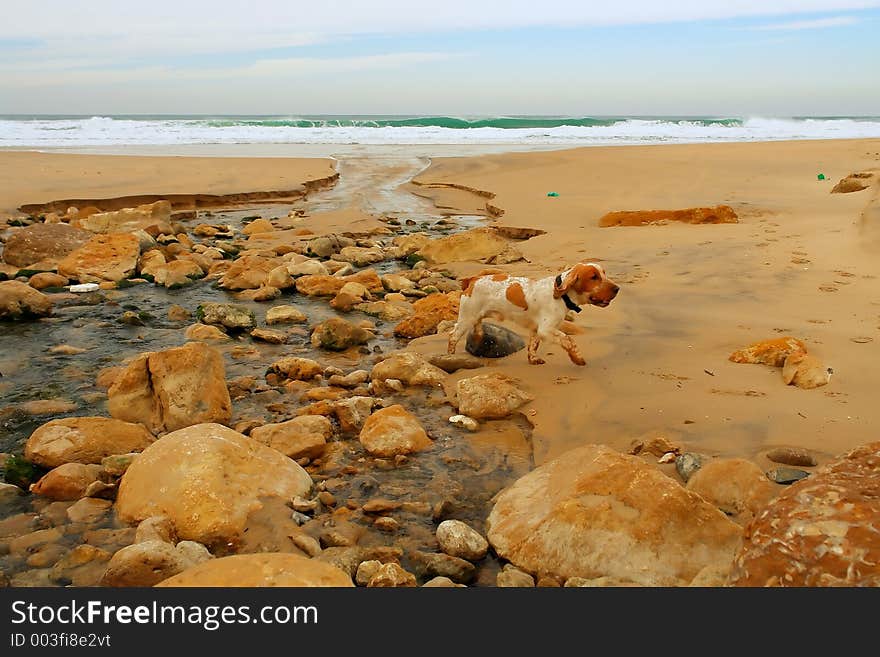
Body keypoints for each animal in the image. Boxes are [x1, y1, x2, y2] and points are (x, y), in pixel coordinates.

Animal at [446, 260, 620, 364]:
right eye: (593, 277)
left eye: (604, 274)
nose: (617, 289)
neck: (562, 296)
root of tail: (473, 279)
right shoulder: (546, 329)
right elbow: (569, 339)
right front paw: (577, 358)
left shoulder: (537, 329)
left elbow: (533, 345)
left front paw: (534, 359)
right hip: (466, 318)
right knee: (453, 336)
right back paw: (451, 356)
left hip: (475, 319)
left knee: (476, 331)